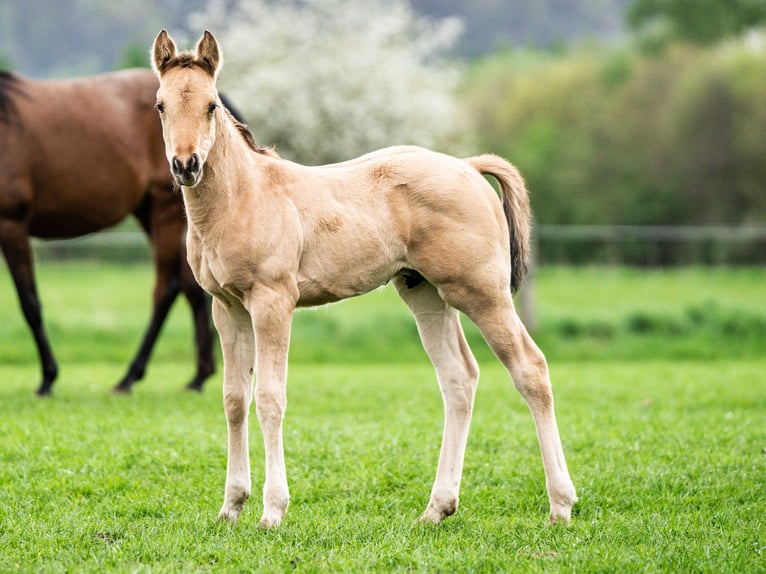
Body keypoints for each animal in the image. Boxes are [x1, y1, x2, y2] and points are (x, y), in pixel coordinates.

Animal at [0, 67, 216, 396]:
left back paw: (130, 377)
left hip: (164, 212)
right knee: (192, 287)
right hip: (152, 213)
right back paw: (198, 377)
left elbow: (30, 304)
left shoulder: (11, 224)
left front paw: (48, 378)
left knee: (166, 289)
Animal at [153, 29, 580, 528]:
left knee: (531, 369)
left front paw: (273, 511)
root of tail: (469, 167)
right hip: (426, 294)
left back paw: (560, 505)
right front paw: (231, 507)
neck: (244, 197)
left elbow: (270, 399)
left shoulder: (272, 302)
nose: (186, 165)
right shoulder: (228, 308)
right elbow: (234, 399)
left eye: (211, 106)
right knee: (459, 378)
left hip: (482, 293)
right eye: (161, 105)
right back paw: (437, 508)